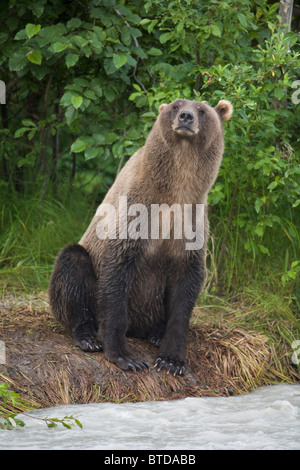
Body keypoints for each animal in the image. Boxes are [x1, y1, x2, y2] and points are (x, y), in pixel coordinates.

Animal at [48, 98, 232, 374]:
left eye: (202, 109)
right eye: (176, 105)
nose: (186, 117)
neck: (176, 190)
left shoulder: (190, 224)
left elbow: (185, 288)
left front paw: (172, 360)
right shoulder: (136, 213)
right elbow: (116, 274)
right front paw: (125, 356)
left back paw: (155, 334)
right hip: (84, 267)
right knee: (73, 264)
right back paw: (87, 337)